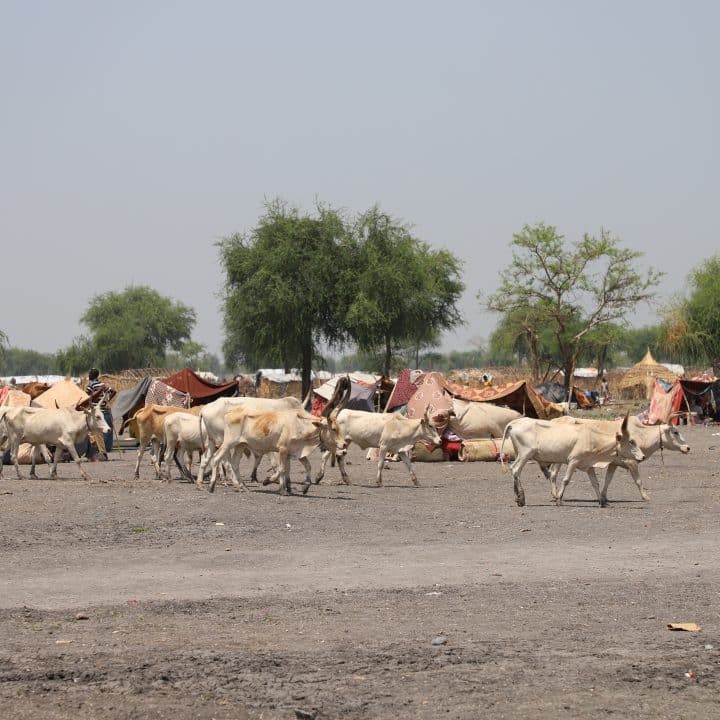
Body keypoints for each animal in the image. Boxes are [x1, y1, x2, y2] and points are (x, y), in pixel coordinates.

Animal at [205, 404, 346, 496]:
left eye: (339, 427)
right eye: (333, 429)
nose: (344, 444)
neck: (299, 425)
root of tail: (230, 412)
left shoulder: (293, 452)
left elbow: (306, 467)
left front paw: (304, 486)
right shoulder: (282, 450)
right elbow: (282, 469)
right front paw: (279, 487)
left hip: (241, 445)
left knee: (234, 464)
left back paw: (243, 487)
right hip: (228, 443)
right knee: (216, 458)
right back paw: (211, 486)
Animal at [500, 414, 648, 510]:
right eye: (631, 441)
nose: (643, 457)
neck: (592, 439)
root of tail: (514, 423)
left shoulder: (588, 465)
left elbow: (595, 483)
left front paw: (602, 501)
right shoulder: (573, 461)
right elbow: (566, 480)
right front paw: (559, 499)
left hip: (520, 454)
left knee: (514, 469)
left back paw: (518, 497)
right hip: (526, 454)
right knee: (516, 470)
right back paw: (521, 498)